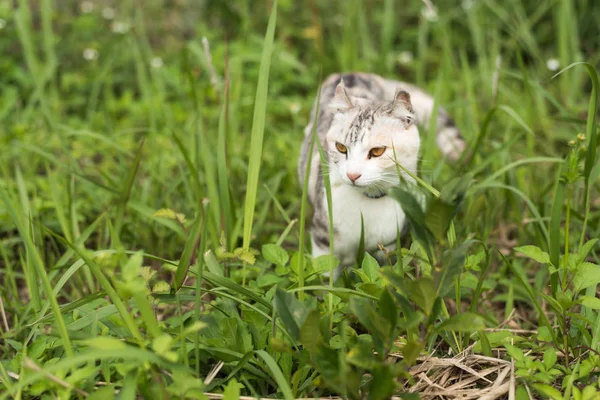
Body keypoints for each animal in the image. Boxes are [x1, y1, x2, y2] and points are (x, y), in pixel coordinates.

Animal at [298, 72, 466, 278]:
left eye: (377, 151)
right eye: (341, 147)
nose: (352, 174)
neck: (369, 205)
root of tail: (357, 73)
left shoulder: (389, 247)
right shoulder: (323, 240)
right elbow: (324, 277)